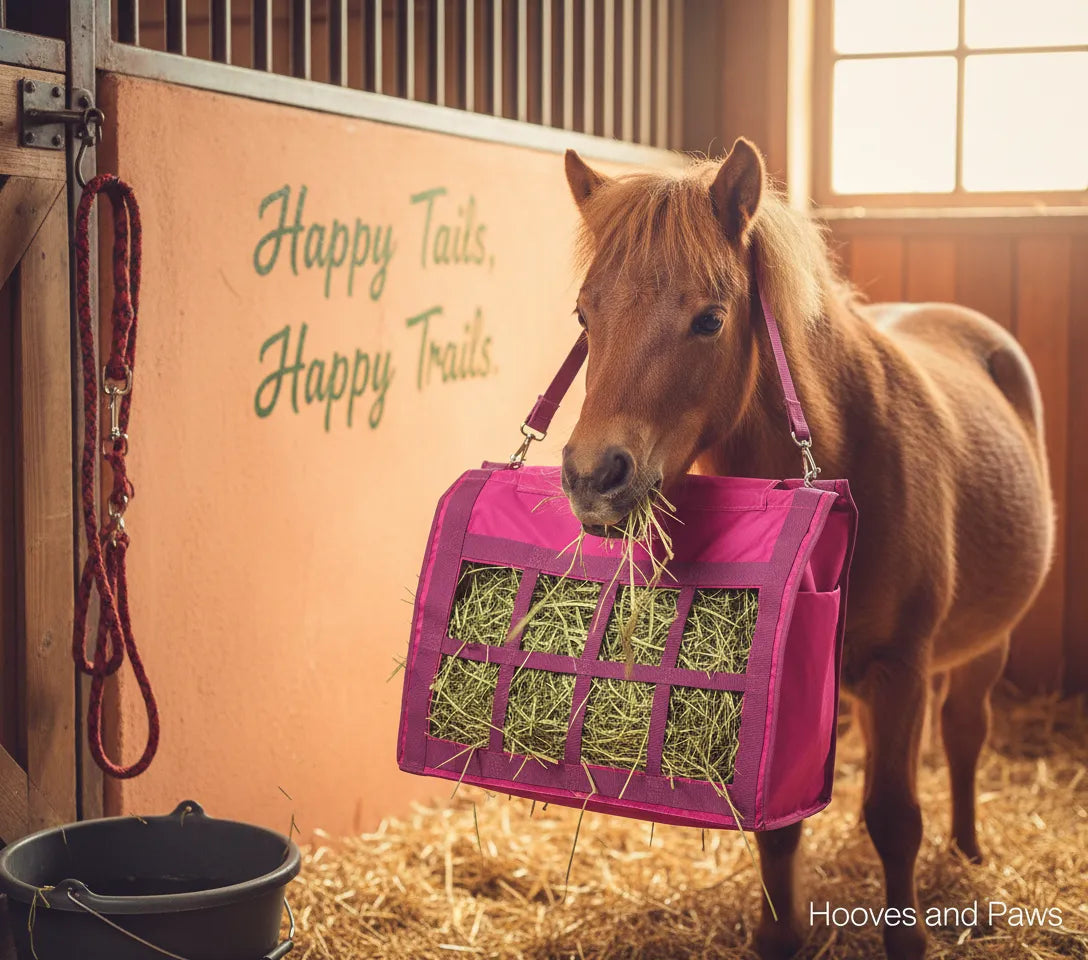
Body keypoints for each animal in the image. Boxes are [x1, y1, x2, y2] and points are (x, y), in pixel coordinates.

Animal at [558, 138, 1054, 960]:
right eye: (583, 314)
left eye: (709, 319)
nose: (594, 478)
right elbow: (781, 829)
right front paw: (780, 935)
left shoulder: (900, 667)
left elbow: (895, 817)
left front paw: (906, 938)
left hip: (986, 645)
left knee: (962, 736)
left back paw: (968, 853)